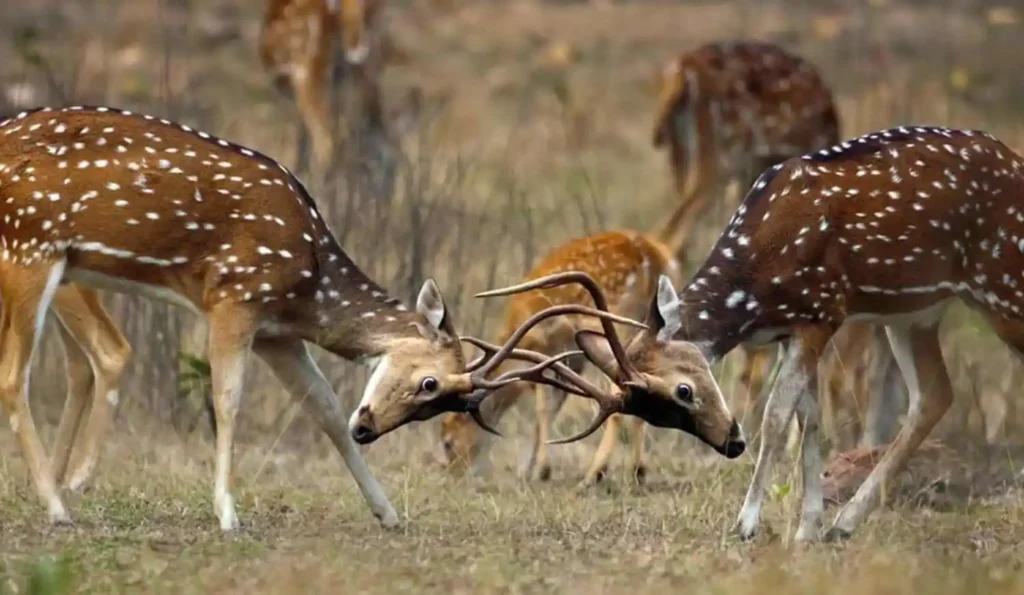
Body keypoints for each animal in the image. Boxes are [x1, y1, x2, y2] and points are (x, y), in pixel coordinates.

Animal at [0, 105, 641, 530]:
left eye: (438, 403)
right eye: (430, 384)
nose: (370, 429)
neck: (309, 280)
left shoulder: (277, 333)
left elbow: (326, 411)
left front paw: (387, 513)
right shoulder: (233, 296)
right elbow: (227, 402)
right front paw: (228, 514)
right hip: (32, 251)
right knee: (15, 378)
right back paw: (57, 506)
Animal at [479, 125, 1024, 542]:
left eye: (683, 389)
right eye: (656, 411)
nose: (730, 443)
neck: (758, 279)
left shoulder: (823, 310)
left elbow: (777, 414)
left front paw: (747, 523)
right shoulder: (792, 330)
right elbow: (810, 417)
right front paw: (807, 528)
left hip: (1000, 283)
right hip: (914, 313)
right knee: (935, 394)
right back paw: (845, 524)